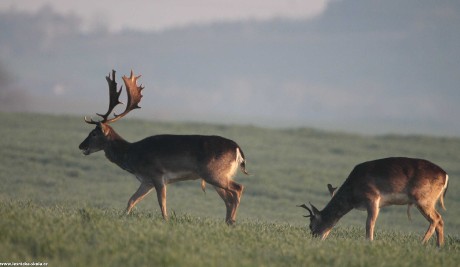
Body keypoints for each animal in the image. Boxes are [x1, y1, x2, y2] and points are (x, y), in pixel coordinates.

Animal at [80, 70, 250, 225]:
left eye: (93, 133)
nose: (81, 145)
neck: (133, 156)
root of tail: (238, 150)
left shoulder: (157, 174)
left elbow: (162, 203)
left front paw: (166, 220)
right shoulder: (146, 181)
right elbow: (132, 200)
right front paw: (123, 216)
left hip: (213, 173)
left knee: (238, 188)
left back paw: (232, 221)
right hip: (218, 175)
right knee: (228, 198)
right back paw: (228, 222)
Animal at [298, 158, 450, 248]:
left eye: (311, 225)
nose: (315, 239)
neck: (352, 193)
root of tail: (445, 175)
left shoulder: (372, 198)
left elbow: (369, 224)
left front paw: (369, 242)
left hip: (423, 199)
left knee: (436, 219)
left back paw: (422, 243)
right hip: (428, 201)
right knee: (440, 220)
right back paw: (439, 246)